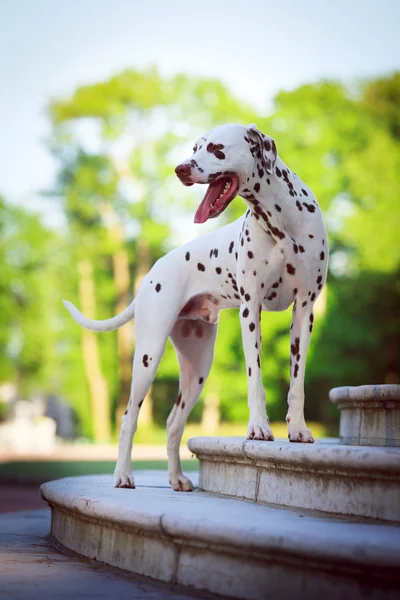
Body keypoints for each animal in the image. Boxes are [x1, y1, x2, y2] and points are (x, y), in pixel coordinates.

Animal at [64, 123, 328, 492]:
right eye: (194, 148)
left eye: (216, 148)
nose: (180, 169)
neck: (282, 223)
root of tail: (151, 275)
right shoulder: (251, 310)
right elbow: (255, 380)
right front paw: (259, 428)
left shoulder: (304, 310)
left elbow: (297, 383)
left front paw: (298, 429)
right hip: (148, 356)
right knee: (129, 416)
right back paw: (122, 475)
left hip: (198, 368)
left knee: (174, 422)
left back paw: (176, 478)